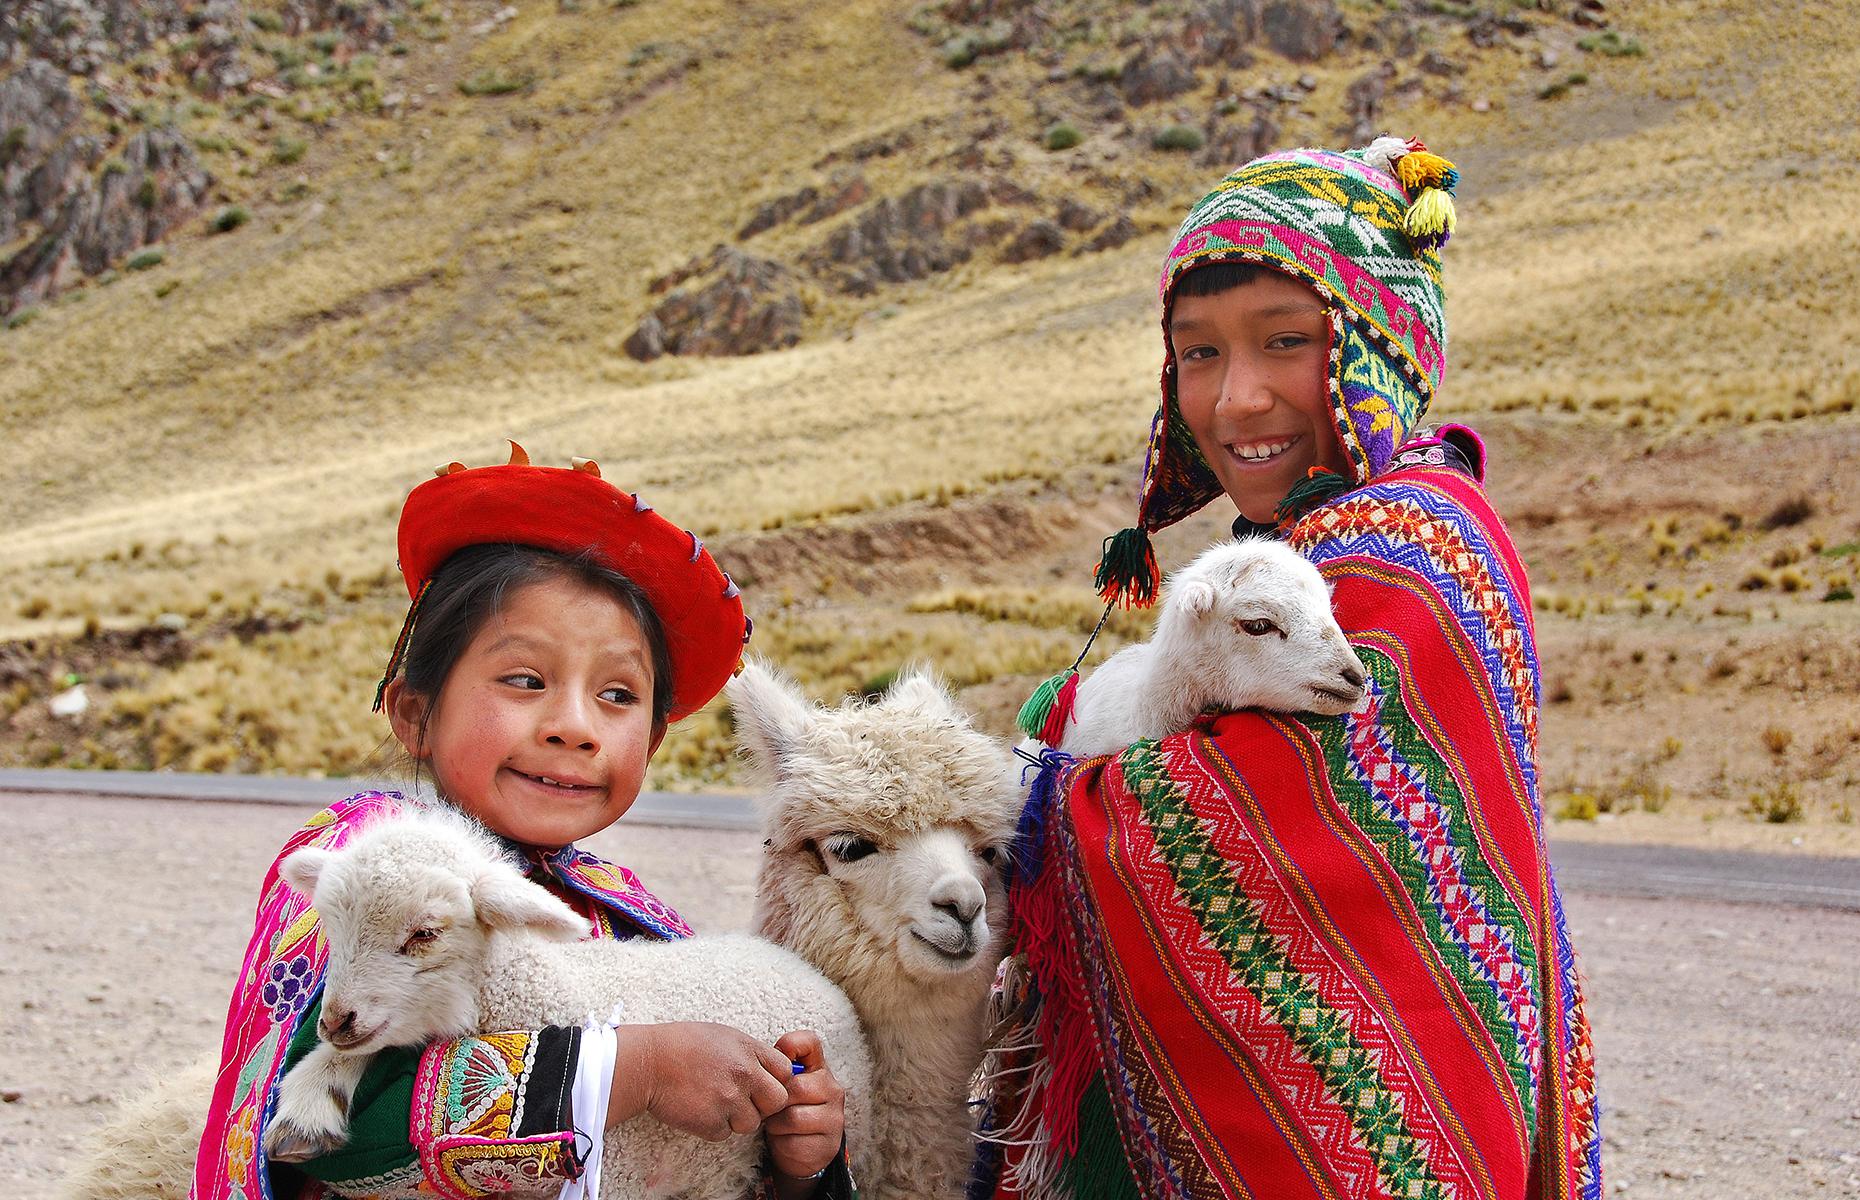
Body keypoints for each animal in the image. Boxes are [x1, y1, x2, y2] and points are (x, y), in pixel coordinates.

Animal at [265, 803, 874, 1198]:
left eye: (425, 933)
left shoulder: (622, 1174)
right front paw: (309, 1103)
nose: (335, 1021)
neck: (553, 990)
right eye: (332, 926)